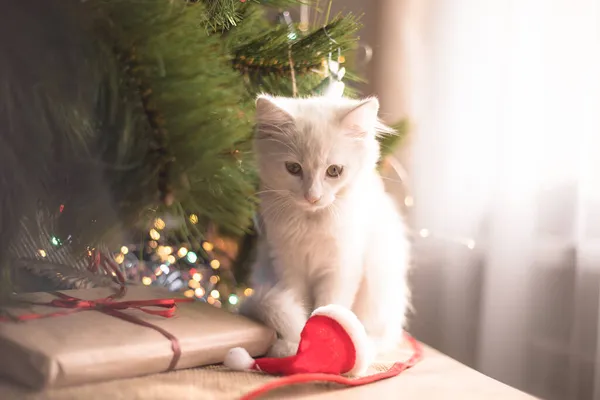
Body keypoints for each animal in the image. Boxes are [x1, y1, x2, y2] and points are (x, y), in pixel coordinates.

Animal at [241, 94, 410, 360]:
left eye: (334, 171)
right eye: (293, 168)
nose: (312, 197)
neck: (311, 223)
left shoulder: (340, 268)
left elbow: (327, 310)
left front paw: (323, 349)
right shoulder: (288, 266)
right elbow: (299, 309)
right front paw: (294, 345)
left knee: (382, 338)